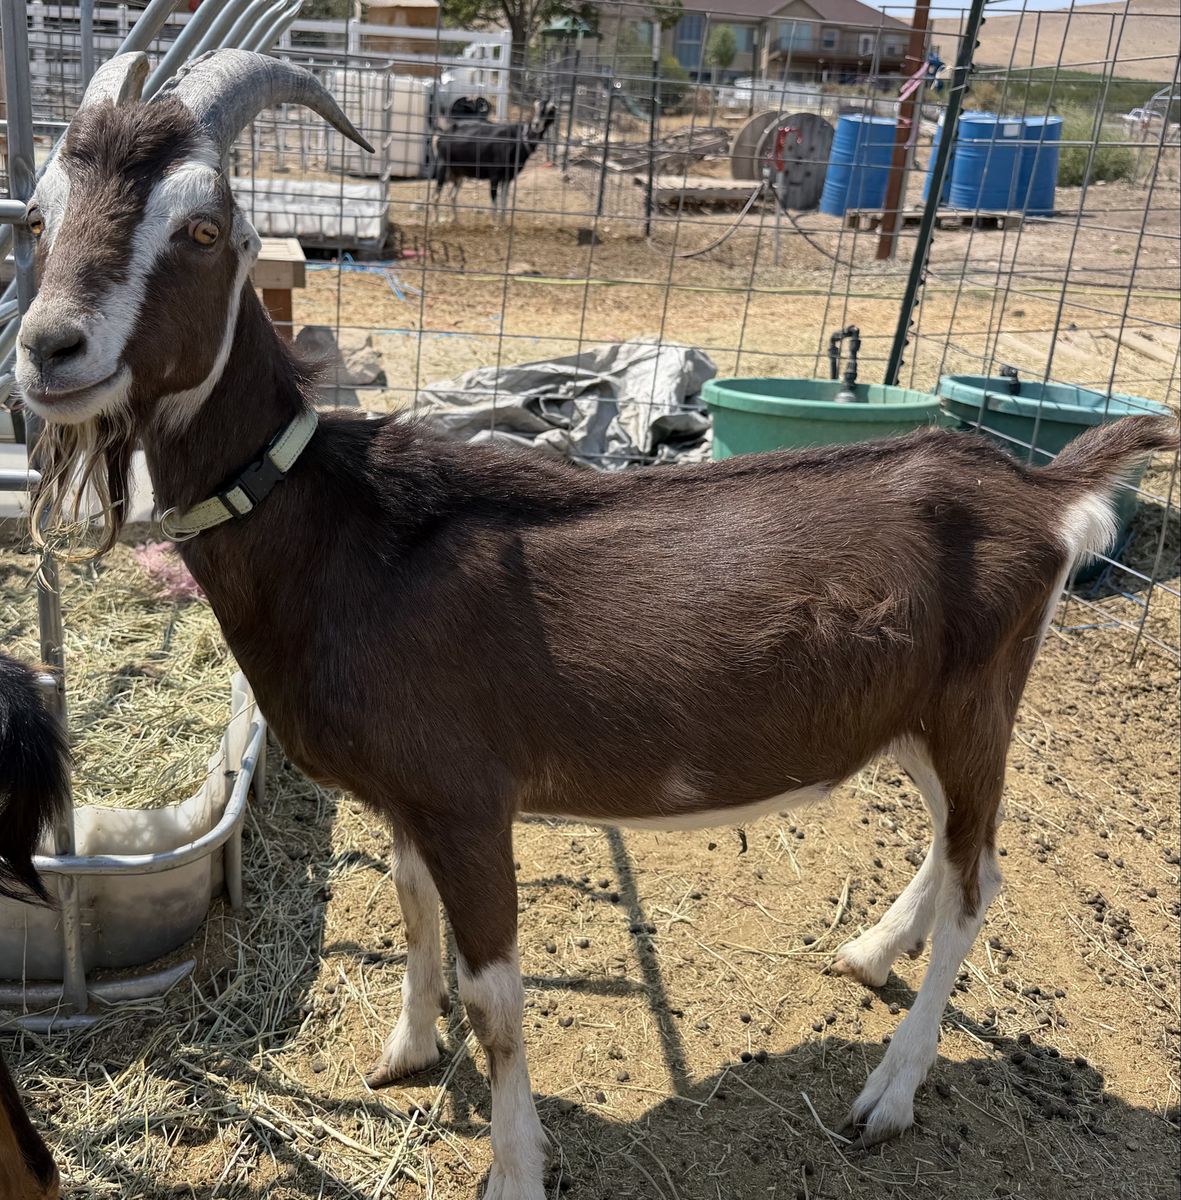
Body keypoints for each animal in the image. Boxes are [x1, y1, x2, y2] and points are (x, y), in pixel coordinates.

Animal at [17, 50, 1180, 1200]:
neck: (341, 530)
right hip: (914, 716)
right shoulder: (403, 796)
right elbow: (408, 910)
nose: (48, 348)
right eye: (38, 214)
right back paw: (865, 955)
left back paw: (888, 1095)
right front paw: (403, 1053)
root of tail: (1039, 492)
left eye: (203, 228)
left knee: (978, 882)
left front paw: (514, 1171)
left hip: (978, 701)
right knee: (954, 850)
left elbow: (494, 998)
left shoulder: (468, 799)